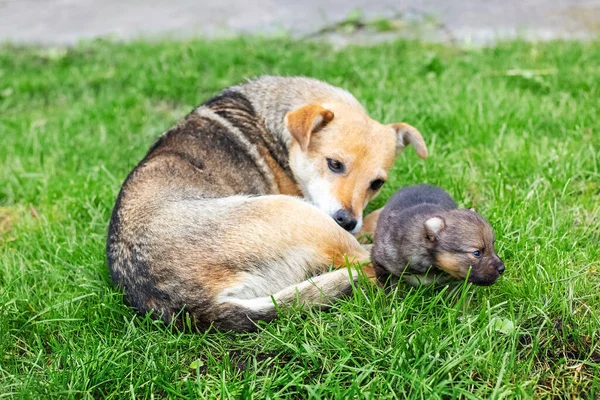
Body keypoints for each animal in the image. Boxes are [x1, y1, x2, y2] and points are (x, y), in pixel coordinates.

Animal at [106, 75, 426, 332]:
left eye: (377, 183)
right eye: (334, 164)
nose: (347, 220)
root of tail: (191, 305)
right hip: (298, 212)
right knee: (366, 261)